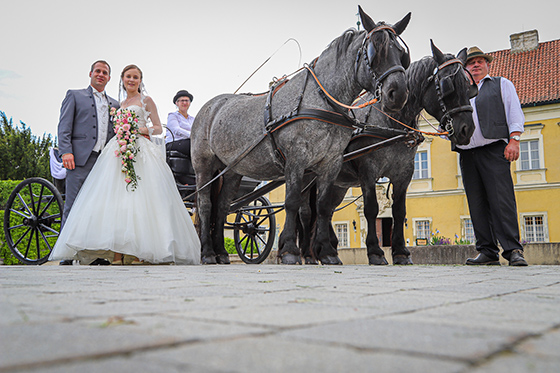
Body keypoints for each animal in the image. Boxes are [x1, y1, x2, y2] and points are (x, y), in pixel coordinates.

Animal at [192, 4, 412, 264]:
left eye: (402, 53)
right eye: (375, 51)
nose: (398, 93)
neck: (322, 101)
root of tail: (210, 106)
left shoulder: (331, 163)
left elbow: (324, 207)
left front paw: (327, 253)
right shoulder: (296, 160)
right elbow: (292, 202)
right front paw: (289, 250)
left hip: (232, 170)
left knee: (222, 208)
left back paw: (221, 253)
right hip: (204, 167)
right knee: (205, 205)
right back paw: (207, 252)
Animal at [302, 40, 476, 264]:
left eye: (469, 87)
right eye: (449, 86)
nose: (467, 129)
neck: (389, 121)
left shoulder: (403, 173)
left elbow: (399, 211)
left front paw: (401, 252)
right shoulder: (368, 172)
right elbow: (371, 209)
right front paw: (375, 251)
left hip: (337, 184)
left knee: (326, 210)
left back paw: (327, 248)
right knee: (306, 212)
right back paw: (307, 253)